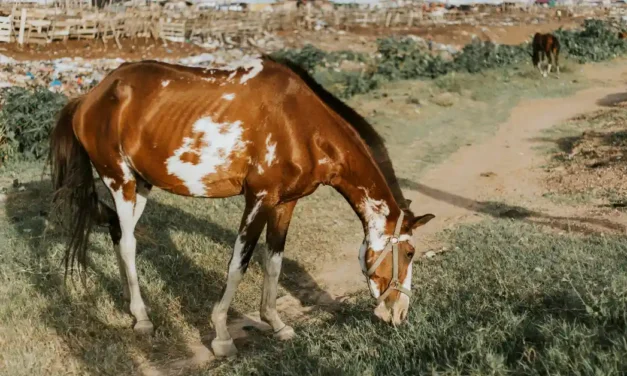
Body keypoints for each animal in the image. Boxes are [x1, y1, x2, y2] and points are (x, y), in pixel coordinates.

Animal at [49, 55, 434, 356]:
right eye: (410, 253)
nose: (398, 314)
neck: (301, 125)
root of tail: (89, 96)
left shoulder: (285, 203)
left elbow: (273, 263)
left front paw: (276, 324)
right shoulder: (258, 199)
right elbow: (239, 264)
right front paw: (221, 335)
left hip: (141, 186)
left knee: (116, 233)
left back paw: (132, 308)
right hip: (120, 182)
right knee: (128, 243)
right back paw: (143, 319)